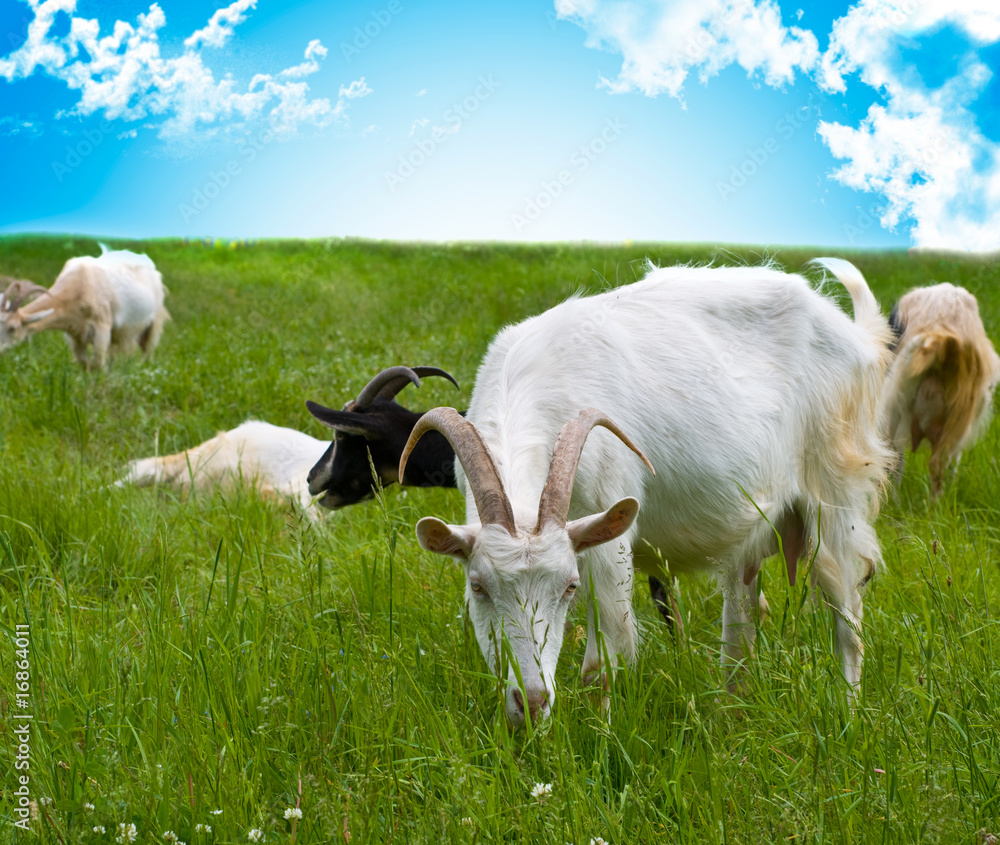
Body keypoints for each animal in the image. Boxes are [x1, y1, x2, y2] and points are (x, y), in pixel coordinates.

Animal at [0, 244, 168, 369]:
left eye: (12, 328)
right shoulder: (74, 334)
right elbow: (84, 364)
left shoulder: (102, 328)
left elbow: (97, 365)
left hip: (153, 323)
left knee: (148, 351)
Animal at [401, 259, 893, 727]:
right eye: (477, 586)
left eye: (569, 586)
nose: (533, 702)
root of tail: (855, 335)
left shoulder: (607, 539)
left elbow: (599, 666)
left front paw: (598, 745)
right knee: (742, 624)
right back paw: (731, 718)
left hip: (837, 488)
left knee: (846, 613)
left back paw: (848, 718)